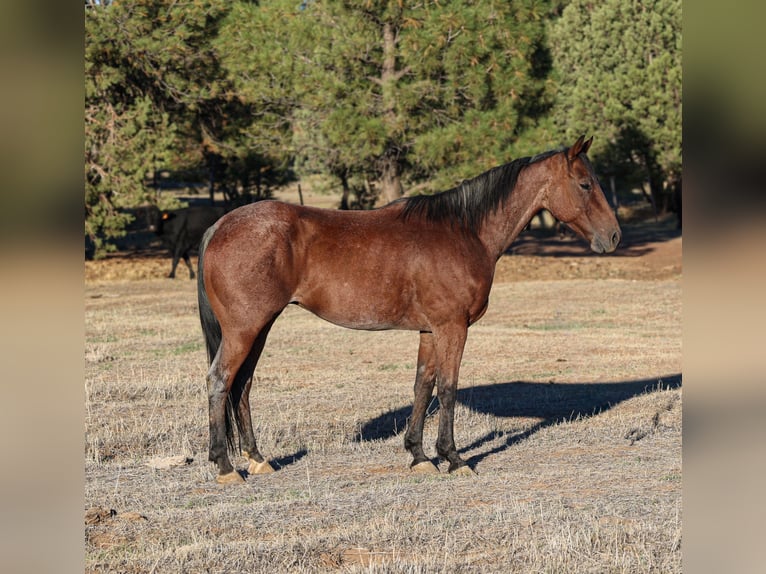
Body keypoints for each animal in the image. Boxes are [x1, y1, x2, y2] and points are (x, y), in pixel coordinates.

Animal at [197, 136, 621, 484]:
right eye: (585, 184)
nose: (614, 236)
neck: (463, 232)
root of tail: (220, 225)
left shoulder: (430, 330)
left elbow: (423, 386)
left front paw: (419, 456)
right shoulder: (453, 327)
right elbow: (448, 388)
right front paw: (454, 458)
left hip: (260, 327)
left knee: (243, 385)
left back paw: (257, 458)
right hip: (245, 329)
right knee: (220, 380)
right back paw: (225, 467)